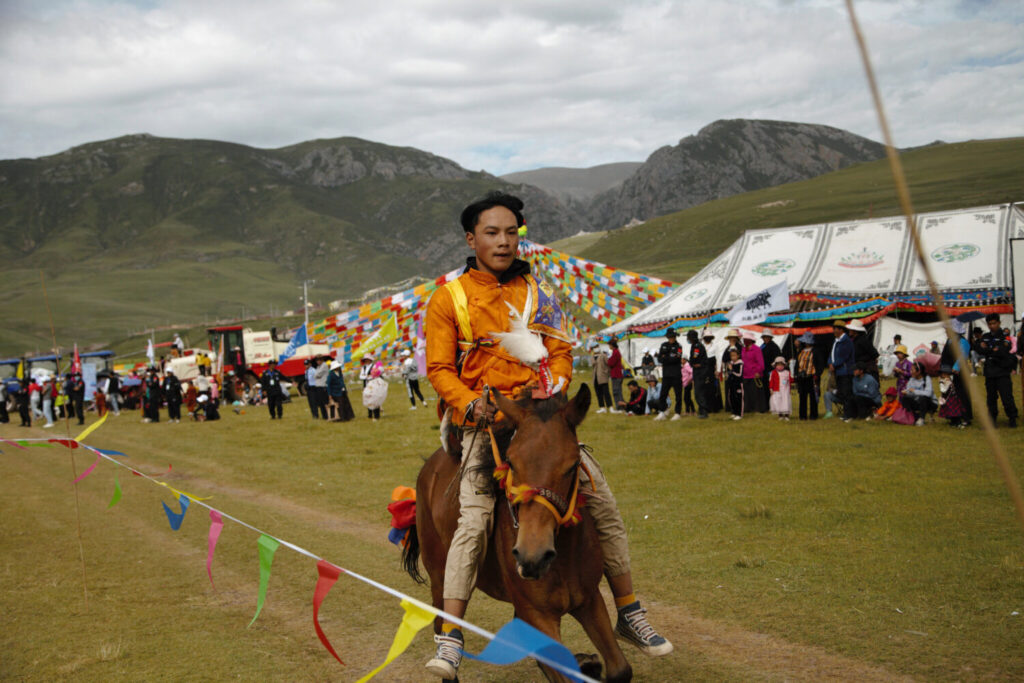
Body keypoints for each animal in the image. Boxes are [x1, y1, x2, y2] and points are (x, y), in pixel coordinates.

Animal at [401, 385, 630, 683]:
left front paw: (590, 663)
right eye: (511, 462)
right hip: (439, 575)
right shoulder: (539, 615)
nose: (533, 556)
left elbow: (620, 669)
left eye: (572, 465)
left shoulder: (590, 600)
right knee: (442, 623)